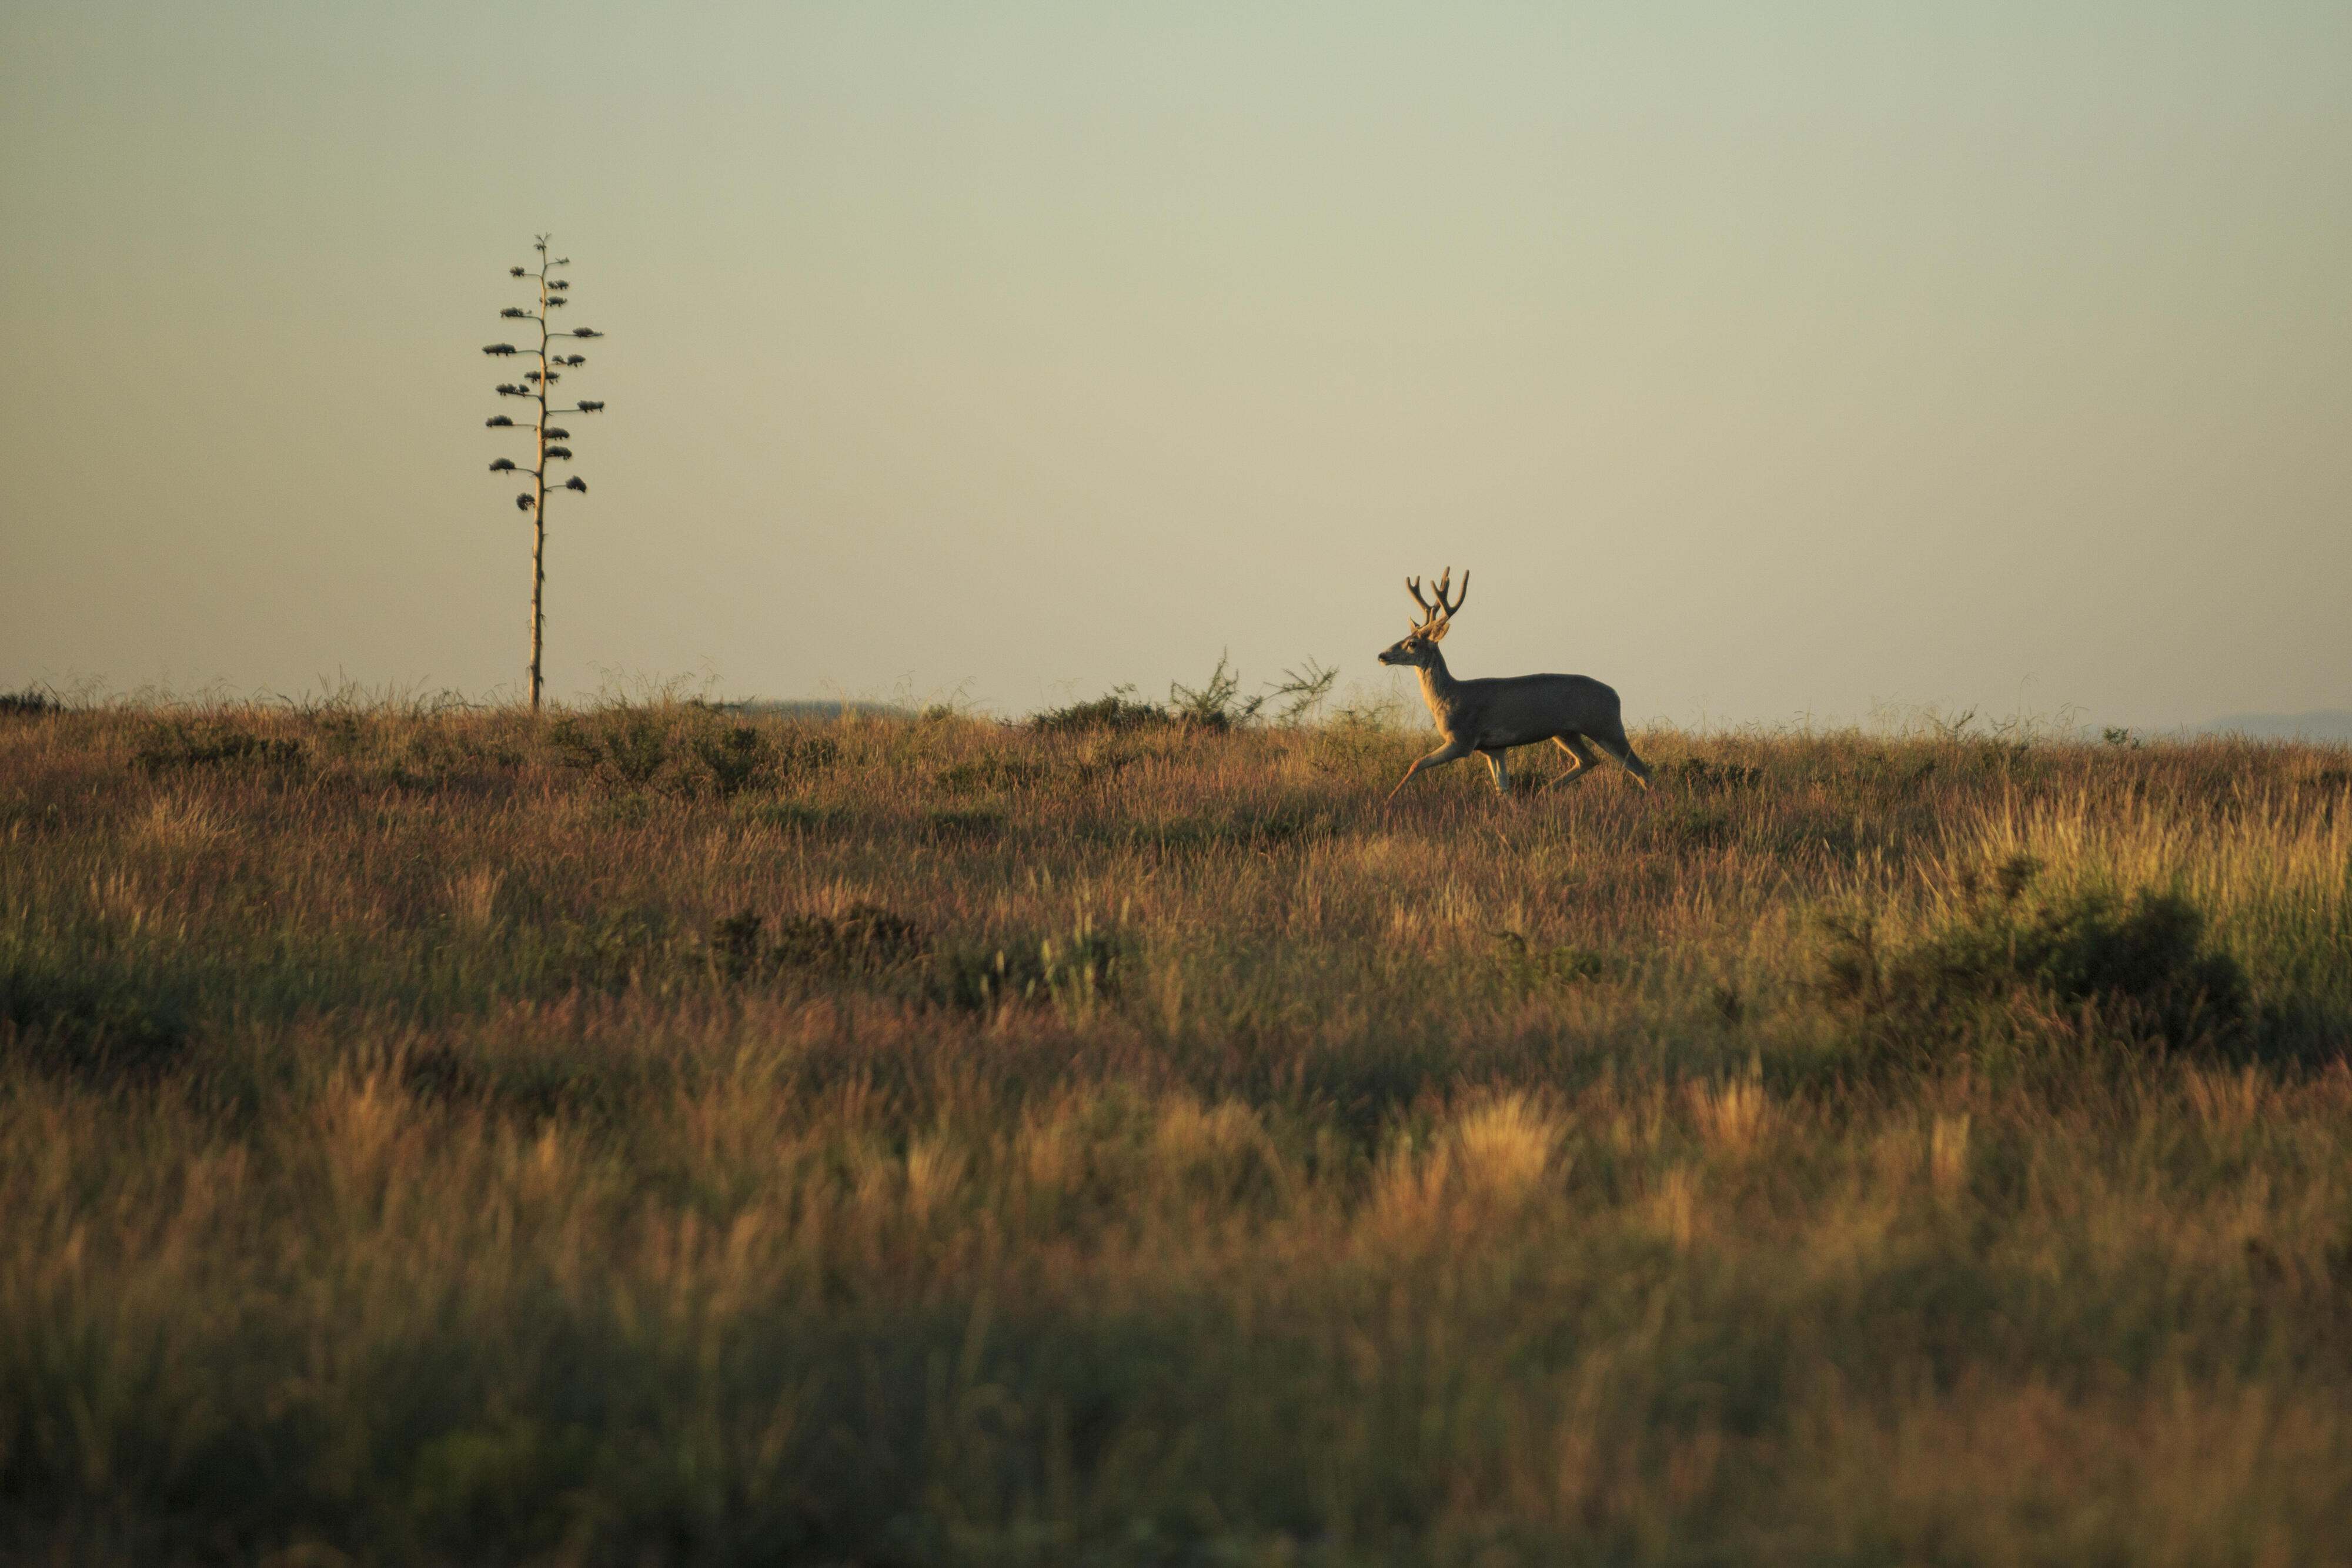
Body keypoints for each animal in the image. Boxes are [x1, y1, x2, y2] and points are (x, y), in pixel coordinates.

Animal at [1378, 567, 1653, 801]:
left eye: (1413, 643)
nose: (1382, 655)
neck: (1449, 696)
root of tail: (1615, 695)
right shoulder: (1494, 748)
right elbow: (1503, 790)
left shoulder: (1462, 739)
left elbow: (1417, 763)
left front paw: (1389, 801)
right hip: (1566, 732)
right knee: (1589, 760)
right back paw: (1543, 791)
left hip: (1605, 726)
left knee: (1642, 769)